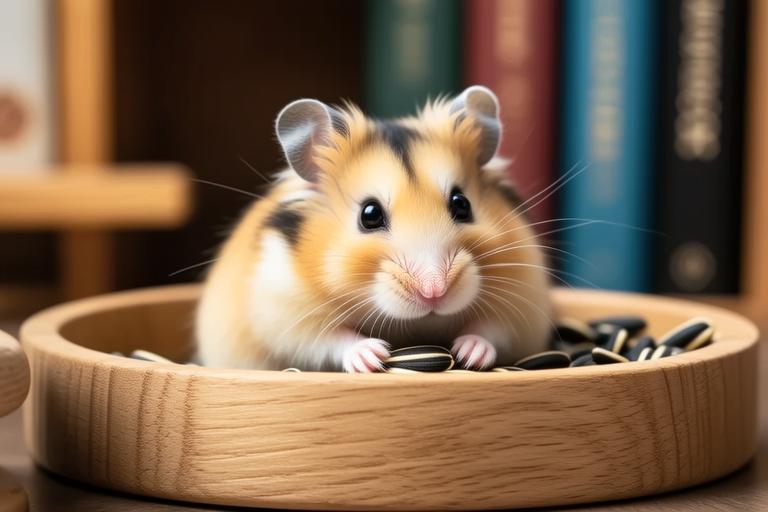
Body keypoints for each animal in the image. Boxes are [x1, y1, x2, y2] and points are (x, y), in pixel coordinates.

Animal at [195, 85, 552, 372]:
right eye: (369, 215)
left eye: (461, 204)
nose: (434, 292)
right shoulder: (284, 312)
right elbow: (329, 339)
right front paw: (373, 355)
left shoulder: (524, 302)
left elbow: (492, 329)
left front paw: (469, 352)